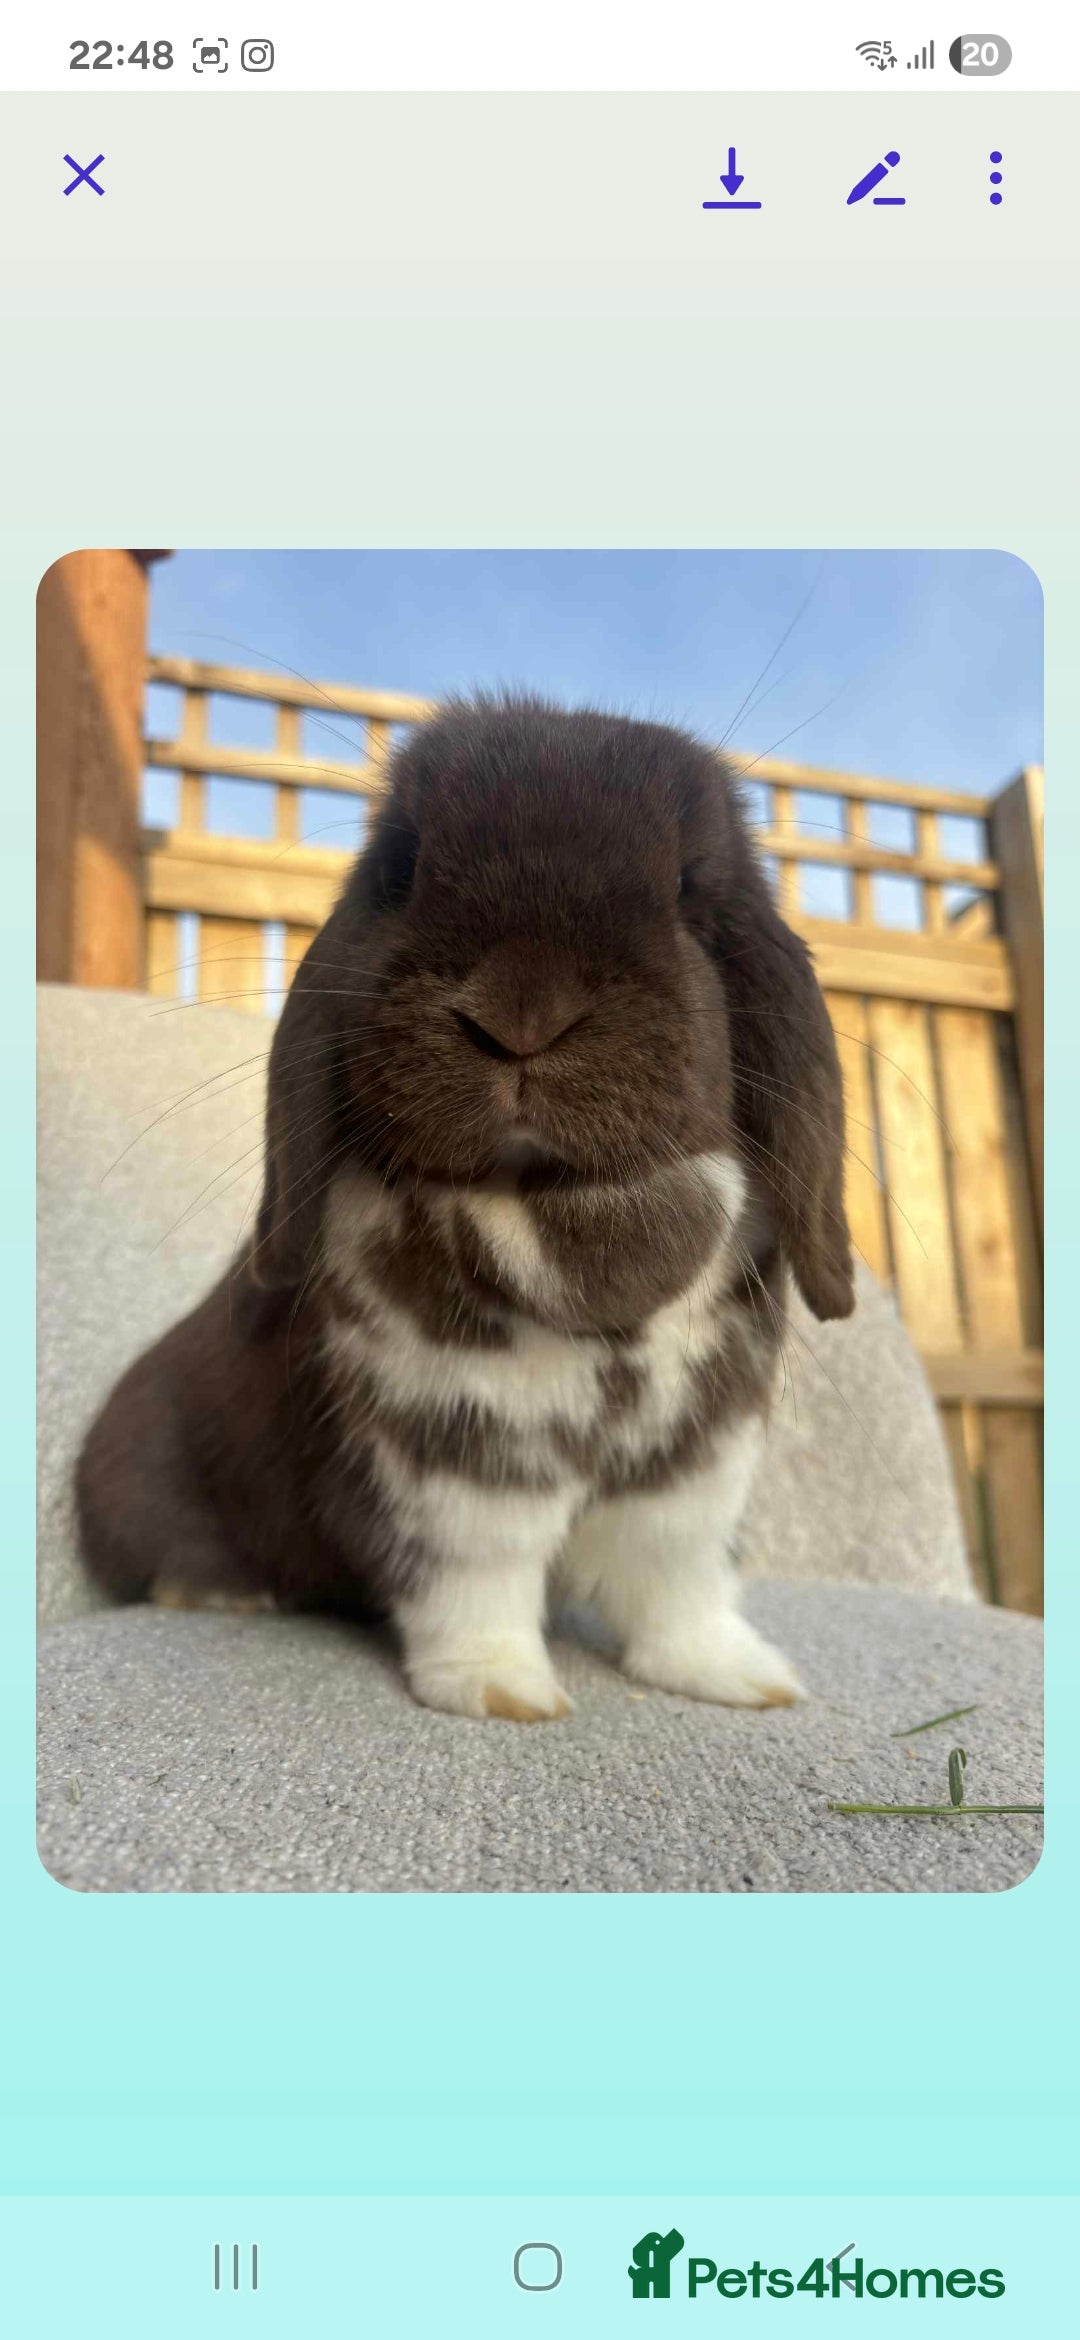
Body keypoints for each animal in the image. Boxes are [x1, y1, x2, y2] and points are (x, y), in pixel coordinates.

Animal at [77, 695, 854, 1721]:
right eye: (403, 871)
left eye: (691, 890)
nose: (521, 1013)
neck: (547, 1206)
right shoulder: (455, 1466)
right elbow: (477, 1579)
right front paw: (500, 1692)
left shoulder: (693, 1471)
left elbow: (677, 1580)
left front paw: (739, 1677)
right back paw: (223, 1593)